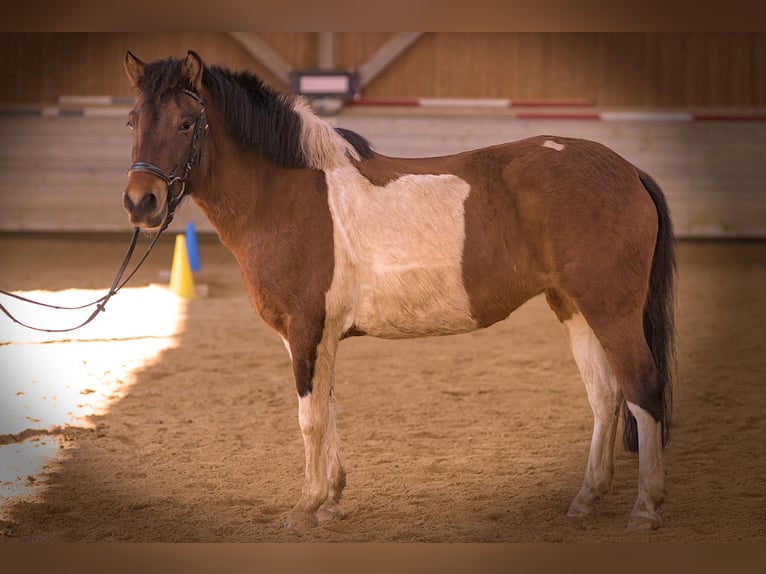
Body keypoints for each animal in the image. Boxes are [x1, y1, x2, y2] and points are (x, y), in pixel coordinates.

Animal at [124, 51, 680, 532]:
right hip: (575, 308)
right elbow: (328, 408)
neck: (285, 195)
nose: (140, 202)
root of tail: (628, 171)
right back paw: (586, 498)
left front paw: (306, 506)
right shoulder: (320, 338)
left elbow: (309, 418)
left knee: (642, 388)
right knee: (605, 396)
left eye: (186, 122)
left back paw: (646, 508)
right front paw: (333, 500)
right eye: (133, 120)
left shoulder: (305, 331)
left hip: (611, 310)